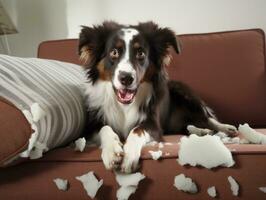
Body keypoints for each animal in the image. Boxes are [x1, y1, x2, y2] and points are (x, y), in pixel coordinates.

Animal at [78, 21, 237, 173]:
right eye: (114, 52)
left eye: (141, 53)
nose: (126, 78)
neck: (125, 105)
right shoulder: (91, 127)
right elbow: (105, 128)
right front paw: (112, 152)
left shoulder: (153, 124)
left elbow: (137, 130)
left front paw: (129, 157)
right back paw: (202, 131)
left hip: (184, 92)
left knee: (207, 117)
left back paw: (224, 128)